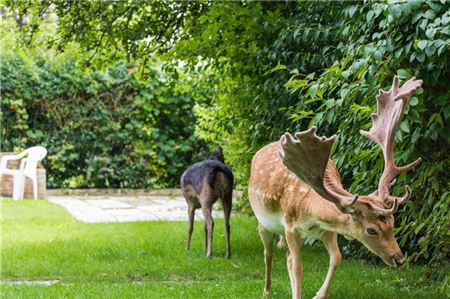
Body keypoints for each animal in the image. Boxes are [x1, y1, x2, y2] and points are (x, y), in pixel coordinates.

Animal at [248, 77, 424, 299]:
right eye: (371, 230)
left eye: (393, 223)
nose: (399, 259)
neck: (310, 212)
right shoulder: (290, 227)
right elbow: (297, 267)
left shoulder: (329, 230)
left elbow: (336, 258)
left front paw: (318, 295)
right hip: (263, 222)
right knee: (268, 252)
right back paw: (266, 290)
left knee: (286, 256)